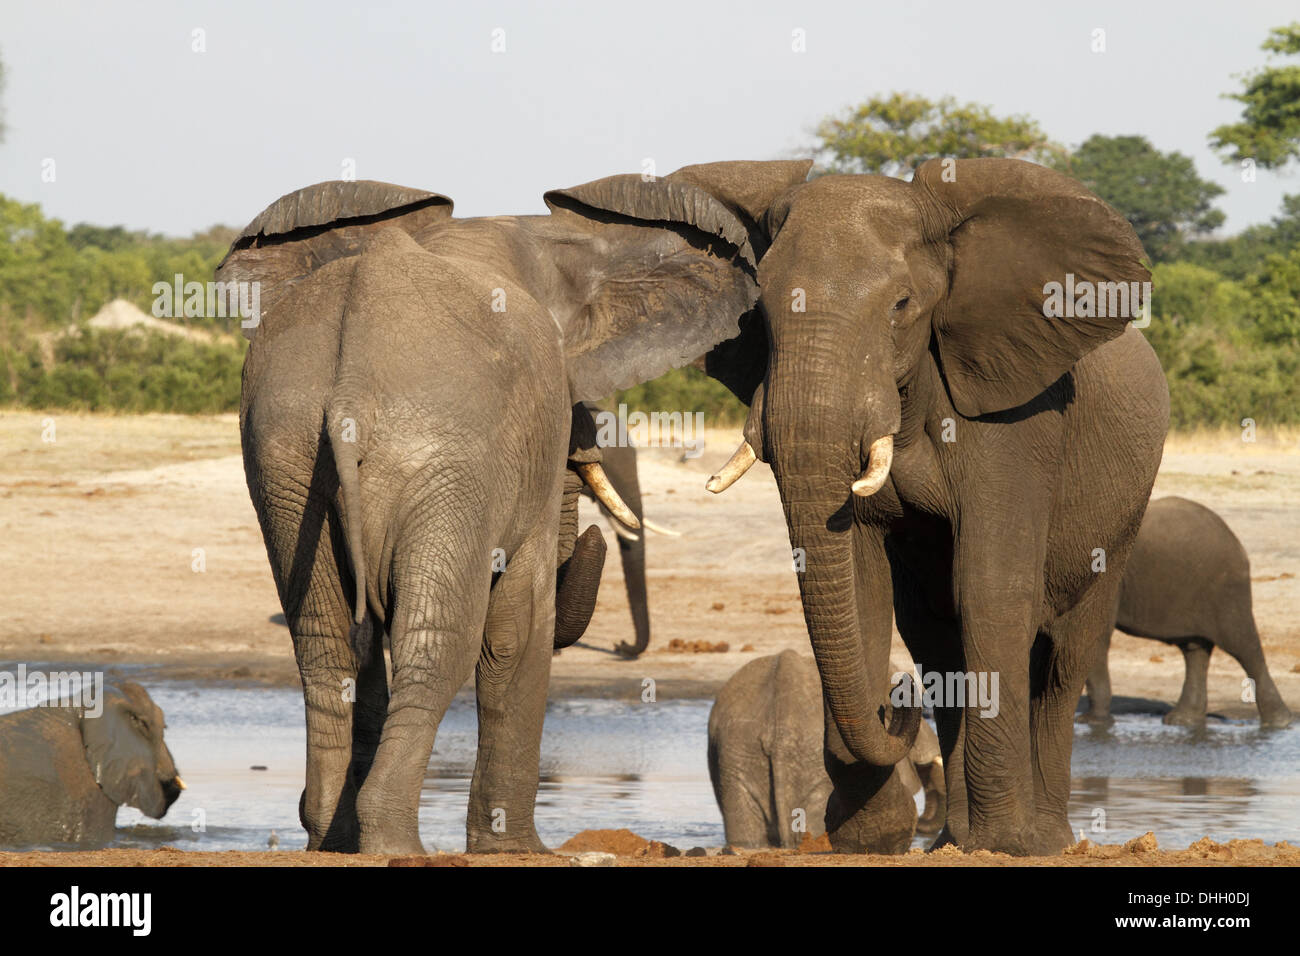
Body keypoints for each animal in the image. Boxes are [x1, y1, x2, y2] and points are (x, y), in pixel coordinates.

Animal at [217, 178, 759, 853]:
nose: (590, 536)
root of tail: (351, 382)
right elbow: (516, 627)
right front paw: (521, 850)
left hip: (286, 455)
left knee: (326, 643)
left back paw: (331, 839)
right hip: (444, 455)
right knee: (436, 642)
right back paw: (396, 844)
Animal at [1076, 496, 1289, 728]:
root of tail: (1236, 540)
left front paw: (1090, 722)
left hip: (1227, 591)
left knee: (1244, 648)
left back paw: (1279, 723)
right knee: (1195, 650)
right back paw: (1183, 721)